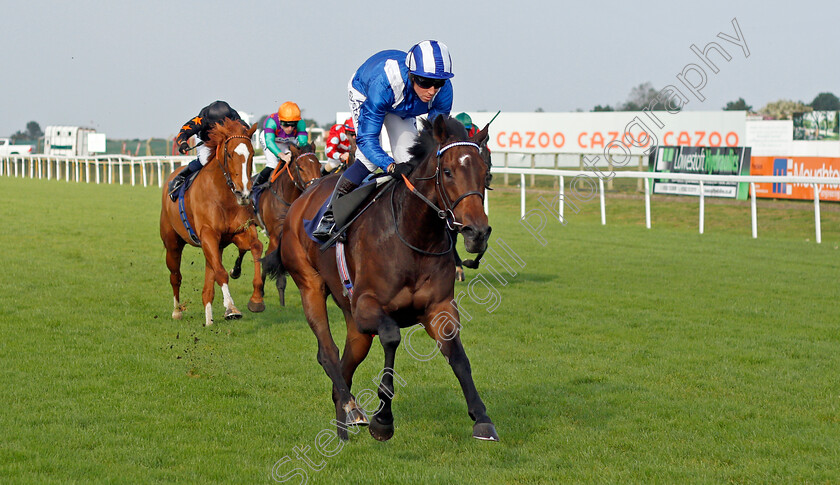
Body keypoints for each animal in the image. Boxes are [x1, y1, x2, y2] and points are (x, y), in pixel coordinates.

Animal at [158, 119, 262, 328]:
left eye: (252, 154)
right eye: (229, 154)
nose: (244, 194)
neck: (223, 195)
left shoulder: (238, 232)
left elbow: (256, 247)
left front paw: (256, 299)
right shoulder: (208, 234)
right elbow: (221, 273)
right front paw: (231, 308)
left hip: (213, 247)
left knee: (208, 283)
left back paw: (209, 319)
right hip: (173, 243)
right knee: (175, 276)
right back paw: (177, 311)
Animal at [278, 115, 498, 440]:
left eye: (486, 173)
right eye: (447, 172)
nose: (477, 233)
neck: (411, 235)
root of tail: (303, 198)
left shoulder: (439, 308)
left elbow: (459, 358)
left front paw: (482, 417)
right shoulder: (367, 306)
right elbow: (392, 337)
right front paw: (383, 419)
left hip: (355, 325)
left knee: (345, 364)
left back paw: (343, 424)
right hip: (310, 285)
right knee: (328, 353)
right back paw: (352, 408)